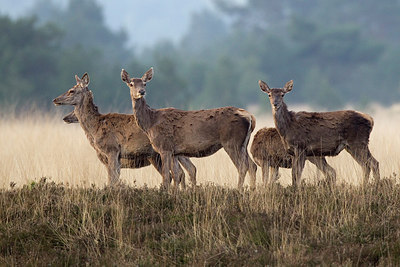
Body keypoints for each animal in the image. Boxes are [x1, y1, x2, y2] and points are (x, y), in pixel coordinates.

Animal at [53, 73, 197, 188]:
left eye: (71, 90)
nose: (55, 99)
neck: (95, 127)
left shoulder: (111, 150)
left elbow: (112, 180)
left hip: (162, 154)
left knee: (180, 172)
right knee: (188, 169)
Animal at [122, 68, 258, 192]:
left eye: (145, 83)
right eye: (131, 84)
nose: (141, 91)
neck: (150, 123)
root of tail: (250, 117)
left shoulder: (165, 147)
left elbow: (166, 177)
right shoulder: (174, 152)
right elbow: (177, 175)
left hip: (231, 142)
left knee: (242, 167)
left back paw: (239, 190)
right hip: (243, 144)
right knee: (252, 166)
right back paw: (252, 190)